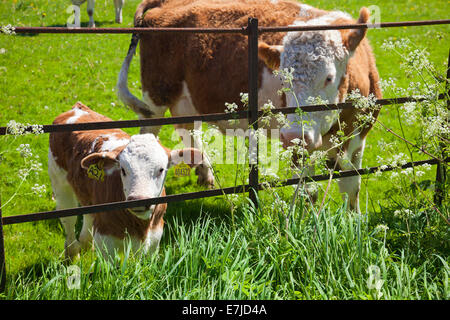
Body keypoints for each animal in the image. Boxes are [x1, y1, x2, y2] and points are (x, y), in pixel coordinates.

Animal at [48, 102, 210, 260]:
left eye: (161, 169)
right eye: (123, 169)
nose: (138, 200)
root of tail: (78, 108)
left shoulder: (155, 239)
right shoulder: (106, 241)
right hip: (59, 183)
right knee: (68, 220)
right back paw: (72, 256)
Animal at [115, 0, 380, 212]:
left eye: (329, 77)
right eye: (282, 79)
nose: (294, 134)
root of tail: (165, 5)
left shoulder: (358, 136)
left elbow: (351, 184)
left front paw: (352, 220)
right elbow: (307, 190)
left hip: (186, 102)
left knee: (188, 131)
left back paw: (204, 172)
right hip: (156, 98)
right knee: (151, 131)